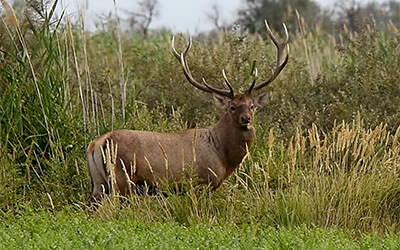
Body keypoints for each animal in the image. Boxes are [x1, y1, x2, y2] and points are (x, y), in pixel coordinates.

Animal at [87, 20, 290, 202]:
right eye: (232, 107)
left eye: (252, 105)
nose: (246, 119)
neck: (223, 156)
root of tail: (96, 144)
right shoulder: (203, 181)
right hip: (121, 178)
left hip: (99, 183)